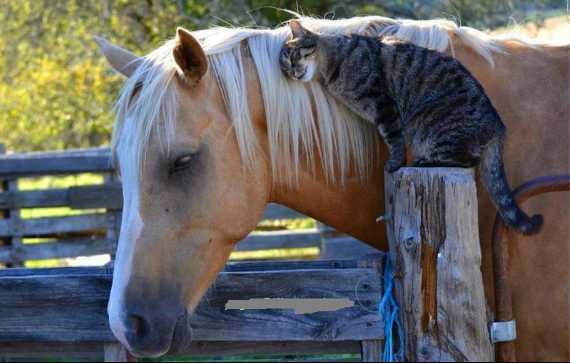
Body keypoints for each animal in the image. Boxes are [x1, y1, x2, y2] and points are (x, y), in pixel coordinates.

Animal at [280, 20, 540, 236]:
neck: (333, 64)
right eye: (285, 66)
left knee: (467, 160)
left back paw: (426, 161)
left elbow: (393, 139)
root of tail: (498, 126)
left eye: (294, 55)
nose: (292, 71)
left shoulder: (383, 104)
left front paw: (394, 163)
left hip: (429, 125)